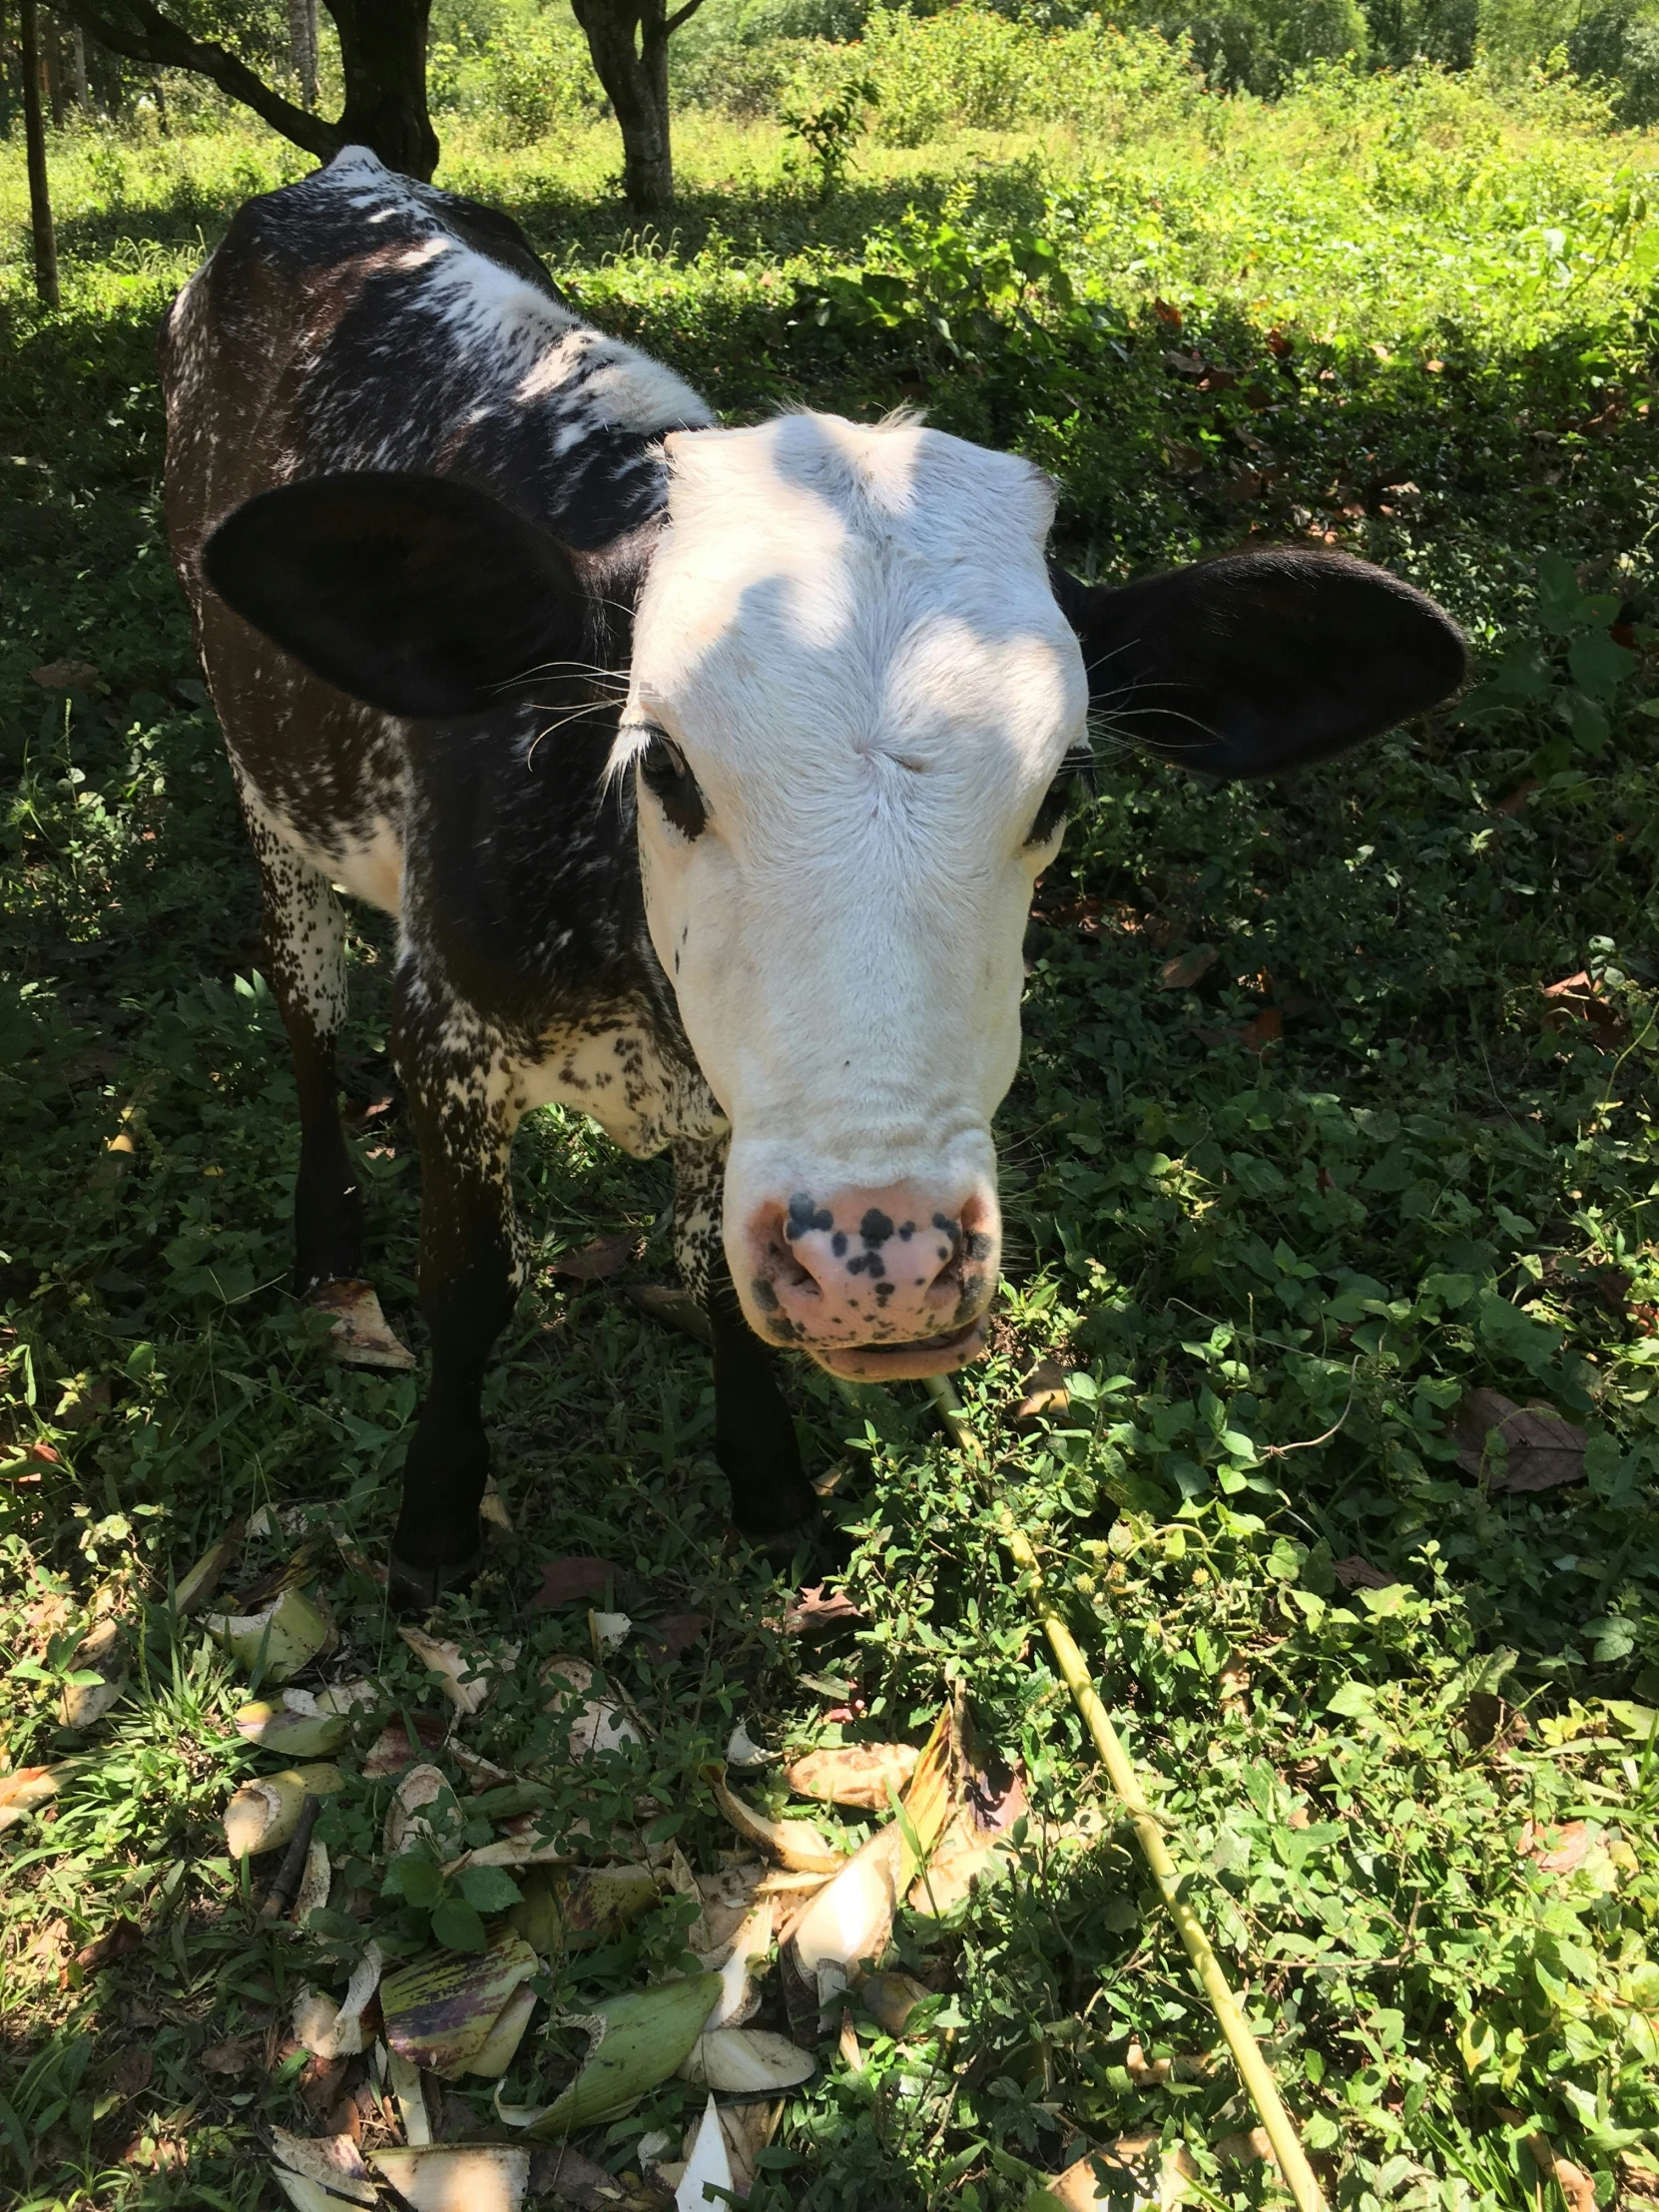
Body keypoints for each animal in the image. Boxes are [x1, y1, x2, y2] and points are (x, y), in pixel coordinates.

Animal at [162, 151, 1468, 1610]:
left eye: (1060, 788)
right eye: (664, 765)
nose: (879, 1258)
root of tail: (344, 171)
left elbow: (713, 1277)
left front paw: (770, 1481)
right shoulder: (442, 1021)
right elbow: (469, 1285)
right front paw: (437, 1515)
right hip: (261, 782)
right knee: (302, 1006)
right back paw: (327, 1236)